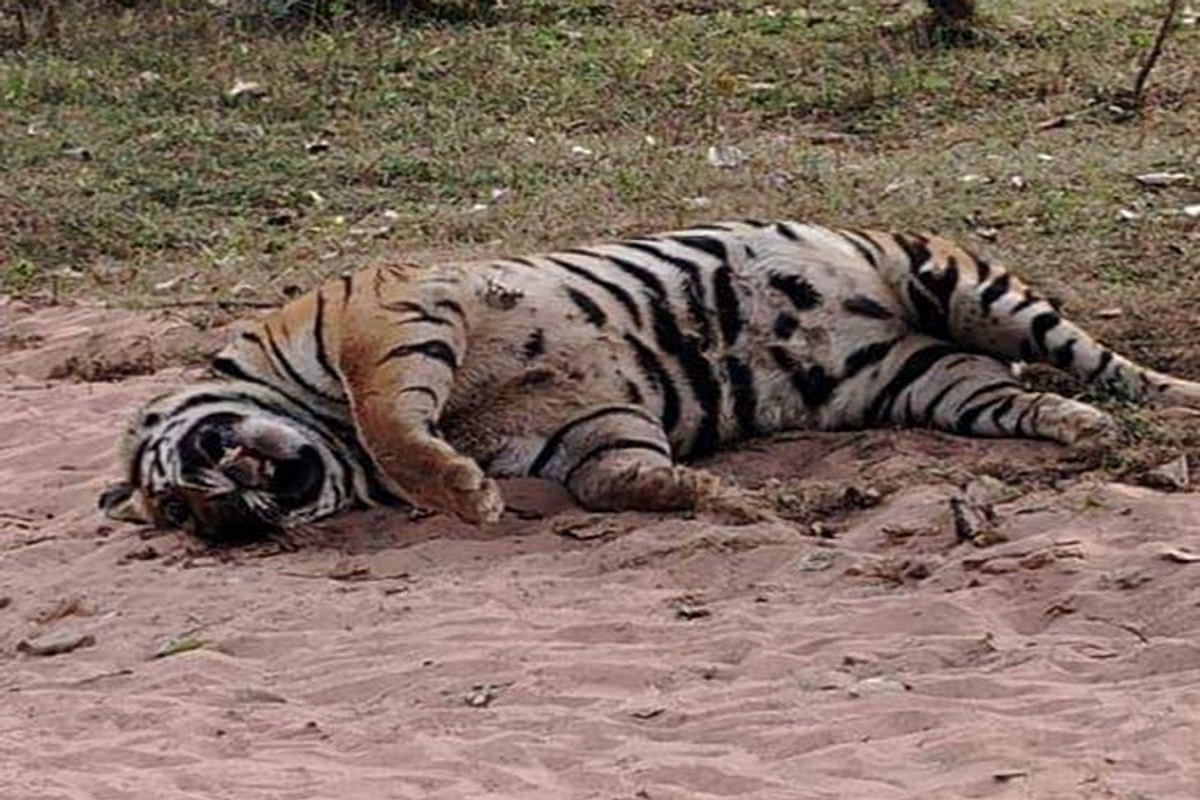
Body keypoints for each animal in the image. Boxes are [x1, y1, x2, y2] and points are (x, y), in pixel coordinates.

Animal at [100, 219, 1200, 542]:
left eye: (204, 459)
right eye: (195, 517)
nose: (240, 506)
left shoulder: (392, 317)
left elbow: (394, 424)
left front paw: (463, 494)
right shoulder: (583, 426)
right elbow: (613, 476)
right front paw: (713, 495)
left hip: (963, 284)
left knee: (1106, 360)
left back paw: (1177, 408)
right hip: (929, 380)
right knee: (1026, 395)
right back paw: (1085, 433)